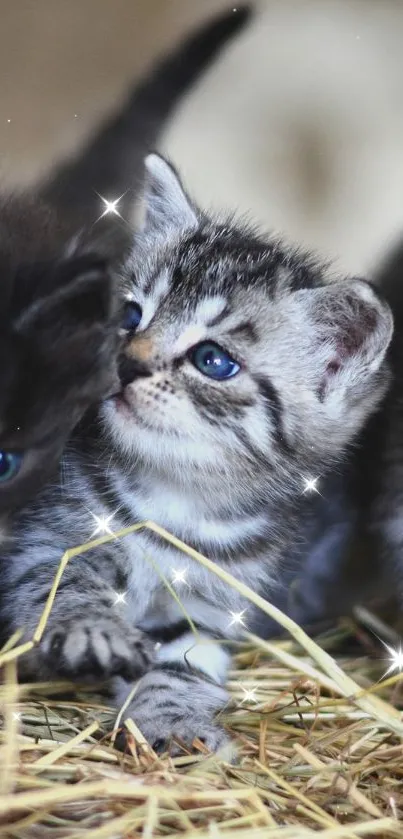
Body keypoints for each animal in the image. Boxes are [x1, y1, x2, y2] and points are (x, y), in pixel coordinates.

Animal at [1, 154, 394, 752]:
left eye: (212, 360)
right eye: (129, 317)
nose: (128, 363)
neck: (175, 496)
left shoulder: (212, 603)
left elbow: (182, 664)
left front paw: (175, 724)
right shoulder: (43, 542)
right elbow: (59, 584)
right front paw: (93, 629)